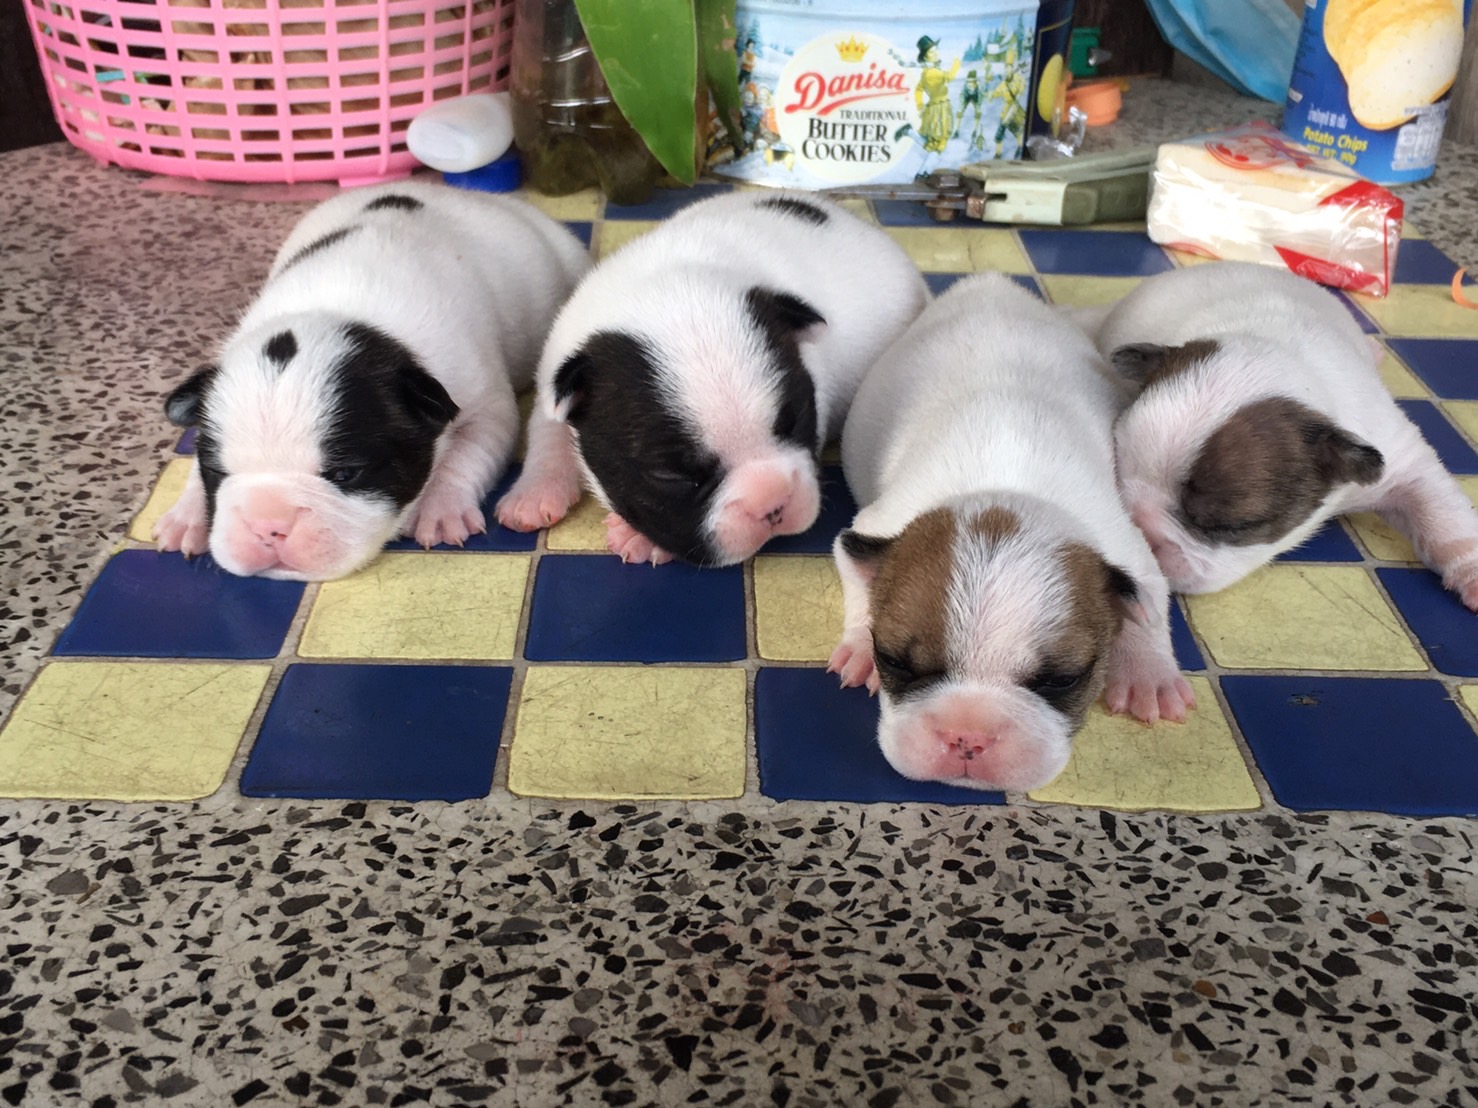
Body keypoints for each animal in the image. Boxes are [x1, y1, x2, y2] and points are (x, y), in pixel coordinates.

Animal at [153, 180, 590, 580]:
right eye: (218, 472)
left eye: (346, 474)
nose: (268, 526)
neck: (339, 311)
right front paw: (187, 516)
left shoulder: (483, 404)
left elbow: (466, 454)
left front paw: (440, 507)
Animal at [494, 190, 930, 566]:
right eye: (671, 475)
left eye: (798, 421)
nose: (771, 503)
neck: (667, 290)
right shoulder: (557, 370)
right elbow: (548, 433)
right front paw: (533, 493)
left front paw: (641, 538)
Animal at [829, 272, 1193, 793]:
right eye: (895, 661)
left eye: (1062, 680)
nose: (967, 736)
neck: (1004, 487)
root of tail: (990, 282)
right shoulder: (871, 527)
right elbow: (860, 579)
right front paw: (859, 645)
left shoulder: (1131, 550)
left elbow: (1149, 610)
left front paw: (1148, 673)